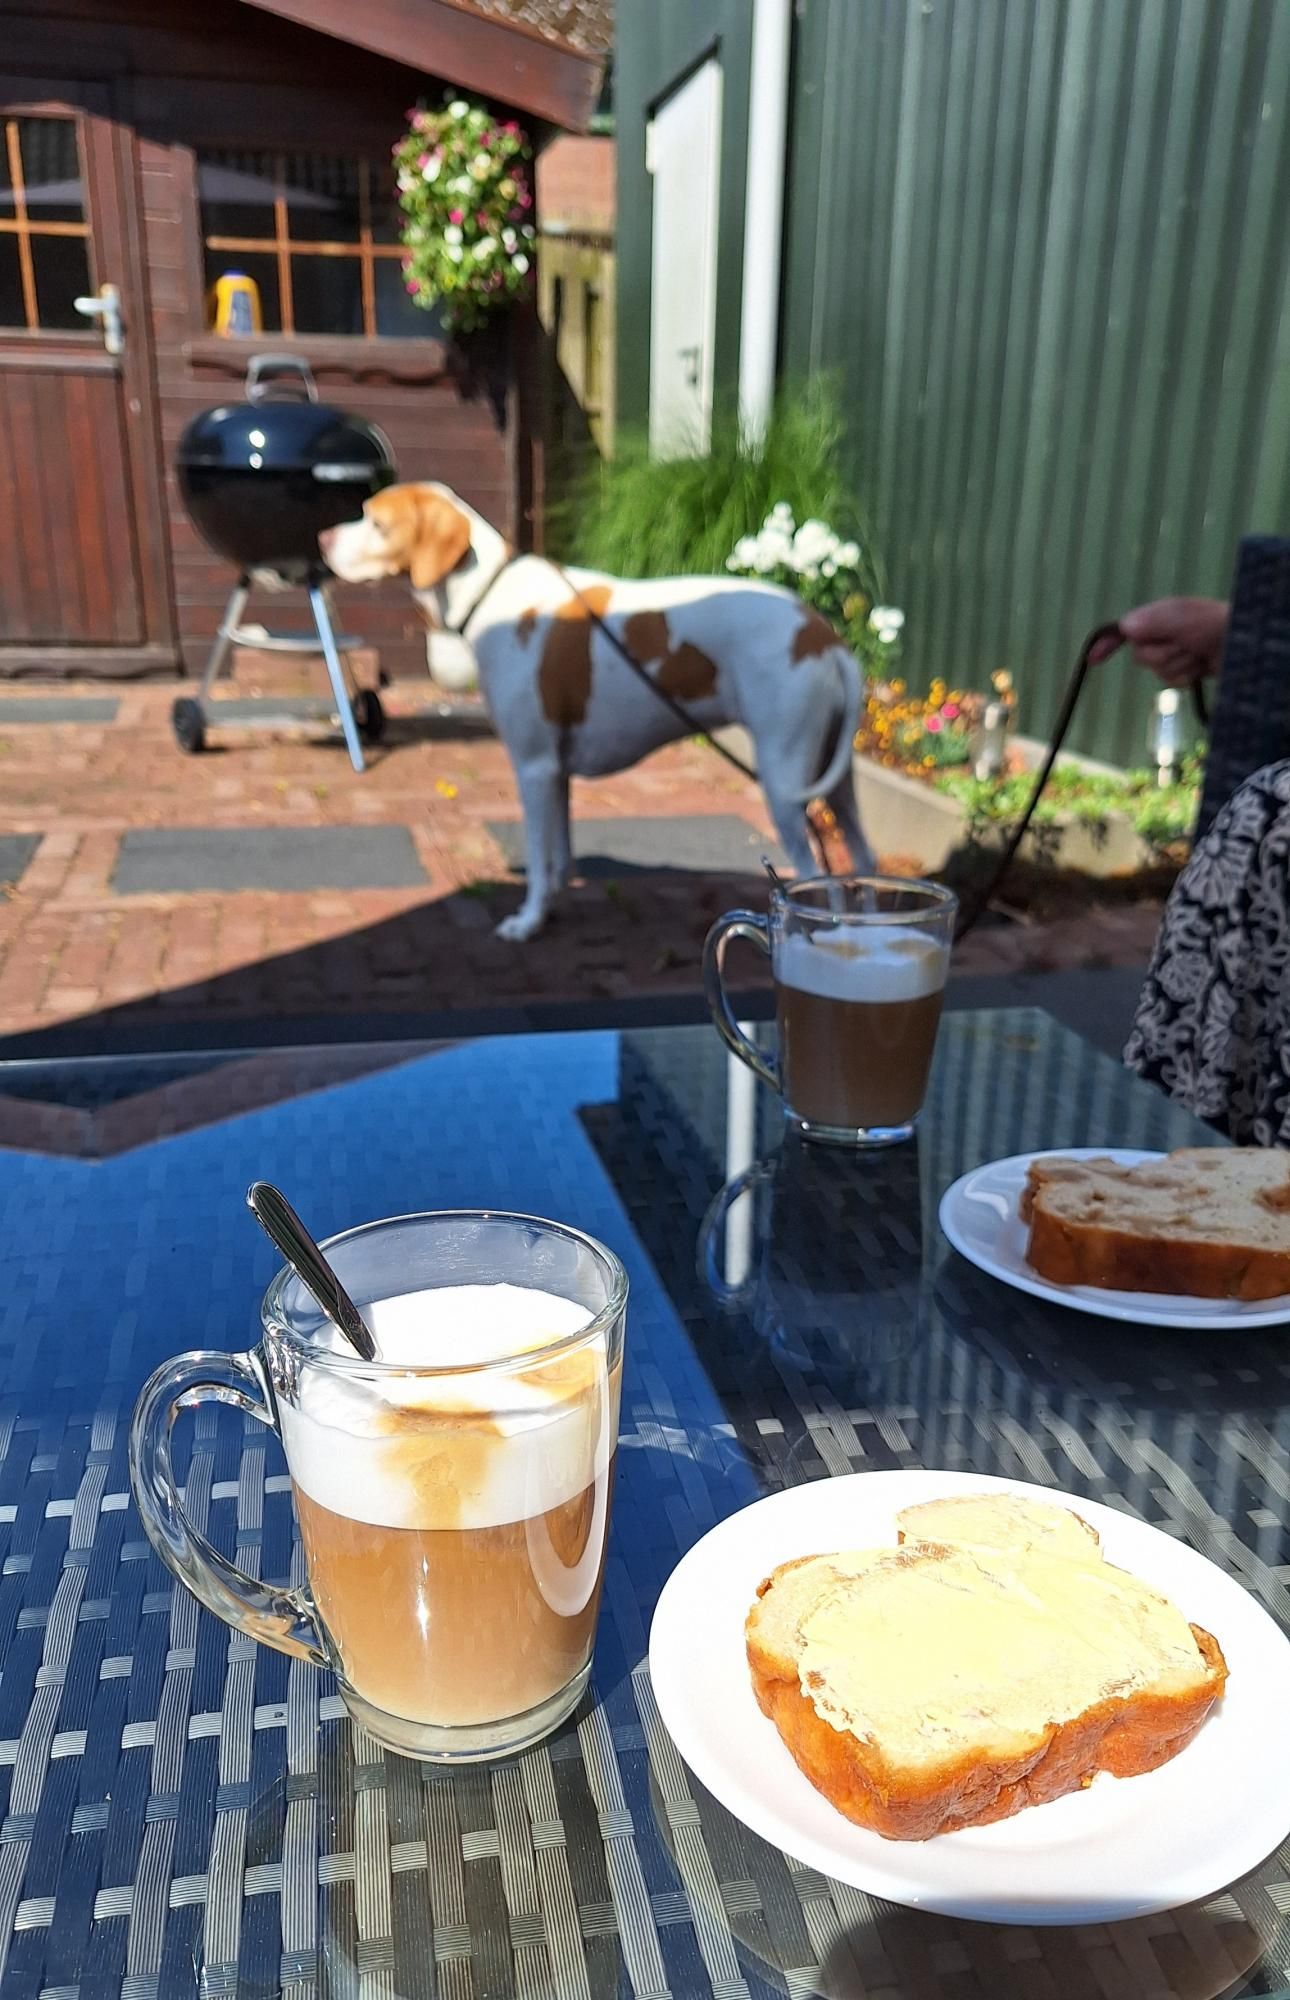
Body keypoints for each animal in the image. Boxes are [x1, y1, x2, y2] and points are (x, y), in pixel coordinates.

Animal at [316, 488, 872, 948]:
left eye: (376, 522)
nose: (321, 536)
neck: (492, 594)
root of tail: (823, 634)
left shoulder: (534, 767)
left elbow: (539, 860)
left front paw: (527, 921)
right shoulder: (557, 772)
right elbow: (559, 857)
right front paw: (550, 908)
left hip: (784, 785)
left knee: (819, 885)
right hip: (838, 788)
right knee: (863, 865)